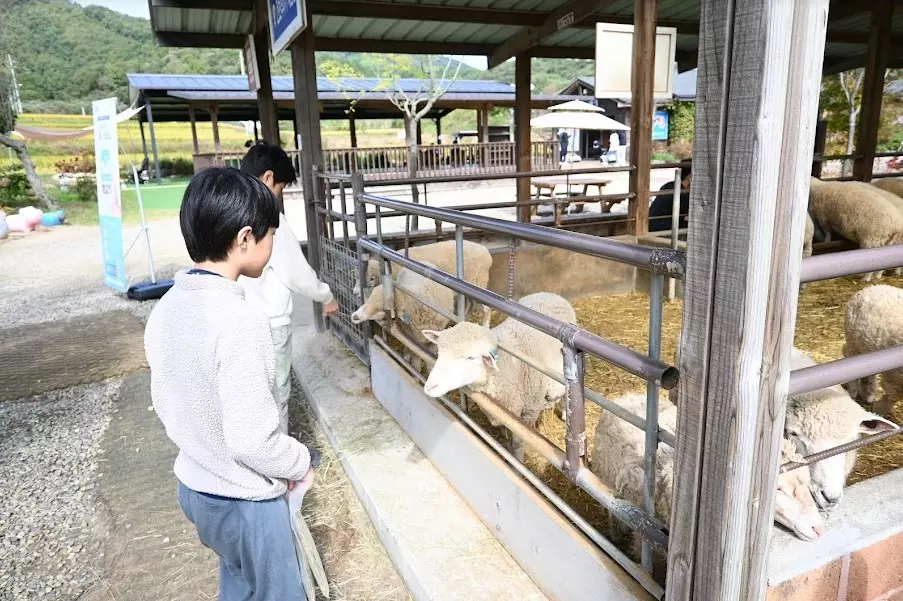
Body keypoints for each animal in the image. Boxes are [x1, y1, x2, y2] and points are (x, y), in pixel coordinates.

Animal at [354, 239, 494, 326]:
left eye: (372, 278)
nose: (355, 293)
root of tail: (486, 252)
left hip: (478, 282)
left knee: (486, 309)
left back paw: (485, 326)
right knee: (469, 304)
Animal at [420, 292, 576, 462]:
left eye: (470, 358)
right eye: (439, 351)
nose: (430, 387)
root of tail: (550, 294)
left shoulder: (527, 414)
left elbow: (517, 443)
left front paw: (517, 462)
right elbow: (507, 437)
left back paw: (565, 415)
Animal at [840, 284, 903, 414]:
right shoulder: (894, 376)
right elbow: (892, 395)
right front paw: (879, 409)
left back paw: (868, 394)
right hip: (854, 344)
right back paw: (855, 393)